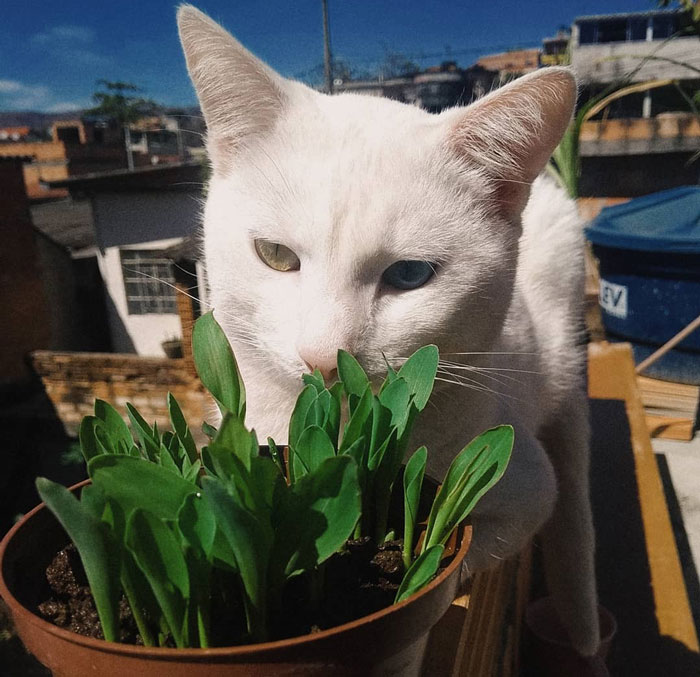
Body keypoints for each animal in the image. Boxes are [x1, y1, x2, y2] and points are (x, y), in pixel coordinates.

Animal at [178, 2, 600, 652]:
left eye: (409, 274)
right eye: (275, 255)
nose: (322, 356)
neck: (336, 432)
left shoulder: (522, 488)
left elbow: (463, 557)